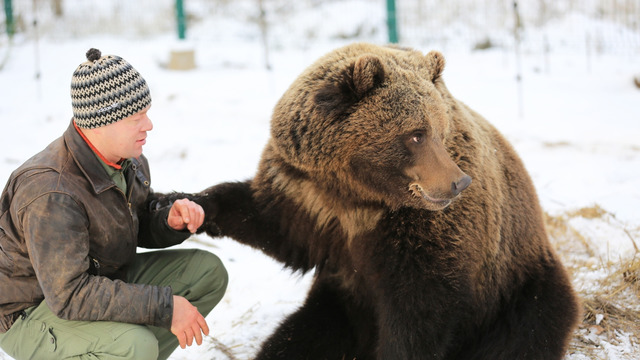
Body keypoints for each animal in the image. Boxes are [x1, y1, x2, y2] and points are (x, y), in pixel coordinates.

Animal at [189, 43, 580, 360]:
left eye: (440, 130)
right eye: (416, 134)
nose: (458, 183)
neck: (358, 196)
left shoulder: (420, 232)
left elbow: (420, 311)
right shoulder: (305, 197)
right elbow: (269, 223)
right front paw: (193, 205)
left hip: (515, 286)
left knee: (525, 333)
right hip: (340, 303)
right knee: (297, 337)